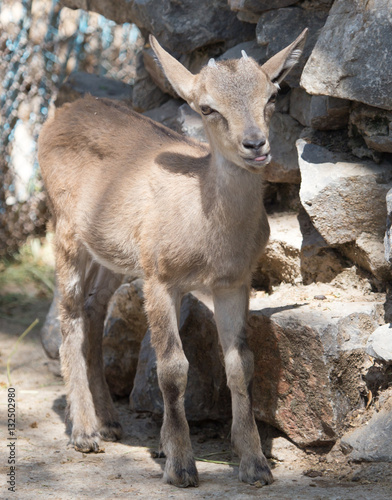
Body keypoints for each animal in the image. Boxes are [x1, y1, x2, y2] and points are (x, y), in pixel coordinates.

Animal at [39, 29, 310, 486]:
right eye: (207, 107)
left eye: (272, 94)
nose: (255, 144)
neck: (209, 234)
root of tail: (58, 115)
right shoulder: (159, 276)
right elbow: (171, 367)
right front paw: (181, 464)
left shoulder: (234, 282)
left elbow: (240, 364)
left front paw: (255, 464)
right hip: (65, 231)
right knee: (69, 314)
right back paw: (85, 431)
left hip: (112, 254)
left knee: (94, 311)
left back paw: (110, 421)